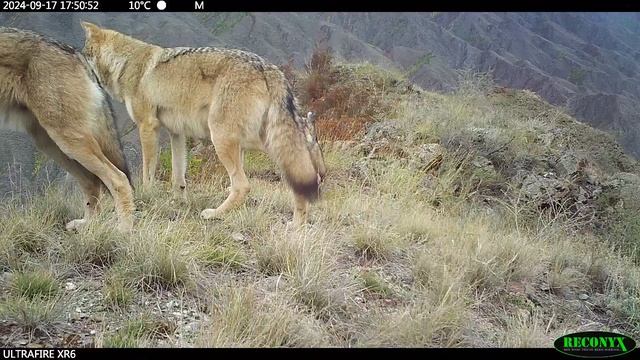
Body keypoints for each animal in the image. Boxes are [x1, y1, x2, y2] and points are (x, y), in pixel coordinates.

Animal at [0, 26, 135, 232]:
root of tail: (78, 54)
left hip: (69, 142)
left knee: (118, 179)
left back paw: (124, 230)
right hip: (55, 146)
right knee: (93, 183)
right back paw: (87, 225)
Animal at [80, 21, 328, 225]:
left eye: (84, 54)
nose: (76, 64)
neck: (126, 64)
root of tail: (269, 67)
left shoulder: (147, 127)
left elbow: (148, 172)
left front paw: (146, 196)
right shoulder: (177, 134)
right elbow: (178, 177)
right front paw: (178, 202)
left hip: (223, 137)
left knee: (244, 185)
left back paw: (215, 214)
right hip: (254, 139)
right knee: (300, 163)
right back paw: (298, 223)